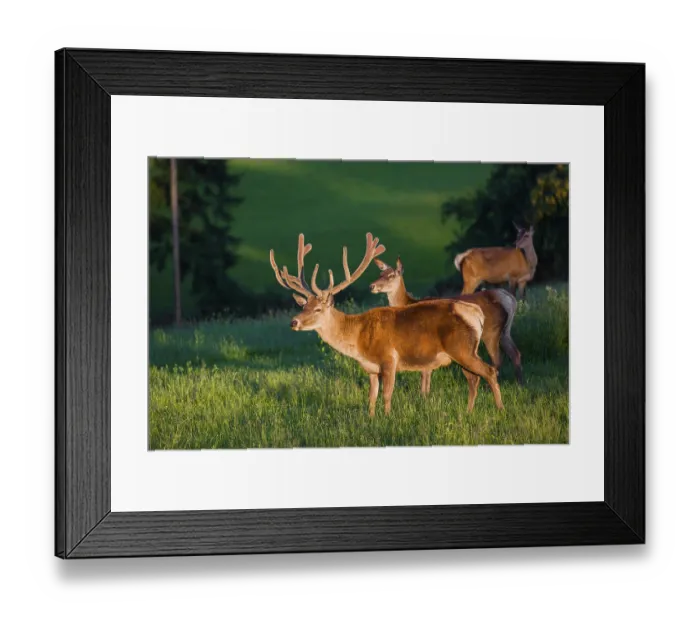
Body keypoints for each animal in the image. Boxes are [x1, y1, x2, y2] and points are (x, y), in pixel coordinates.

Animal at [270, 232, 504, 417]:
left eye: (318, 309)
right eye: (303, 306)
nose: (294, 322)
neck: (358, 337)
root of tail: (476, 313)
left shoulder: (389, 358)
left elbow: (387, 394)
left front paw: (388, 419)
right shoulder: (371, 368)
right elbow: (371, 396)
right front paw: (371, 419)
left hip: (462, 348)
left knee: (489, 371)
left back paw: (500, 410)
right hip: (462, 353)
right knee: (474, 379)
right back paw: (468, 412)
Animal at [370, 257, 523, 388]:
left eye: (391, 275)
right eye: (380, 273)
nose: (372, 286)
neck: (408, 303)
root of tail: (509, 299)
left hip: (491, 332)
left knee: (497, 359)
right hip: (505, 331)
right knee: (515, 353)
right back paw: (519, 384)